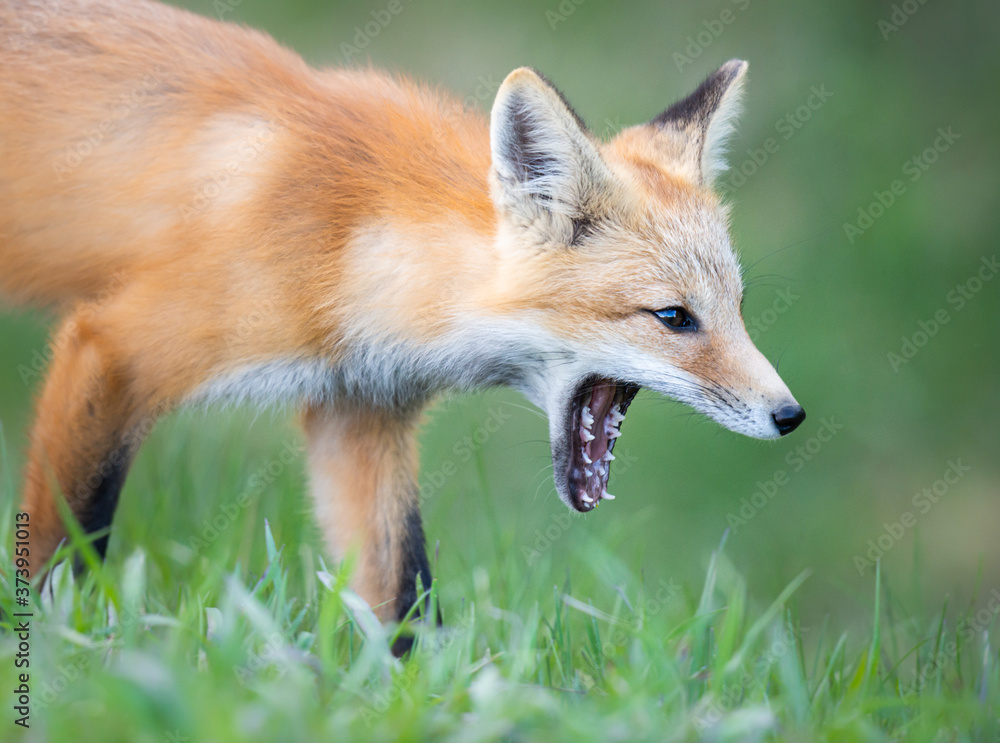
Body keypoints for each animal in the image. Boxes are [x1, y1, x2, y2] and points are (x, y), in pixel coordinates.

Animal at [1, 0, 804, 646]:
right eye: (674, 317)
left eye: (735, 308)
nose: (791, 414)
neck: (349, 249)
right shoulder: (113, 347)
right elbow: (64, 550)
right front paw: (66, 657)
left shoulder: (357, 414)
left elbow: (402, 595)